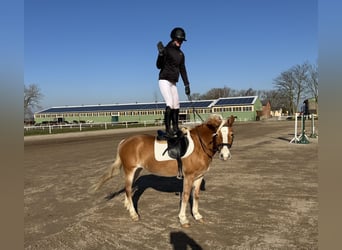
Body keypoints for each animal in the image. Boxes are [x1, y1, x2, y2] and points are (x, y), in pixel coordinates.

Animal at [90, 114, 235, 228]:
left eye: (231, 134)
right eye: (217, 134)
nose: (225, 156)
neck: (199, 146)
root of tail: (125, 141)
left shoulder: (199, 177)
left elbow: (196, 196)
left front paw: (197, 215)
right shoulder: (188, 177)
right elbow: (186, 196)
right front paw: (183, 219)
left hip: (137, 171)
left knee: (128, 189)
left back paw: (128, 207)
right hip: (130, 170)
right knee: (127, 189)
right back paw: (134, 214)